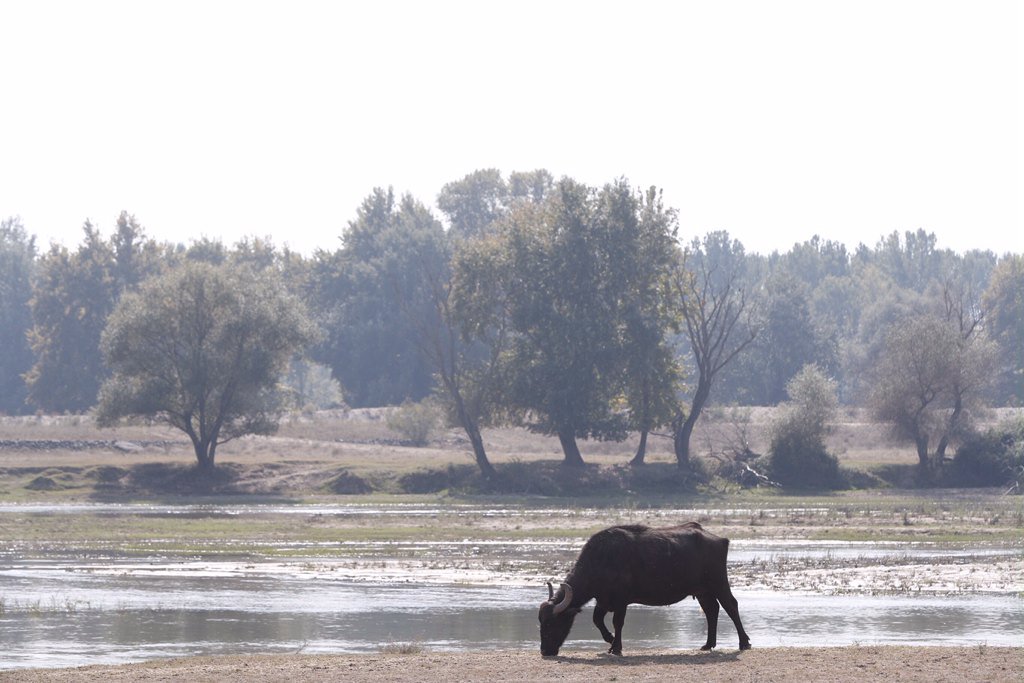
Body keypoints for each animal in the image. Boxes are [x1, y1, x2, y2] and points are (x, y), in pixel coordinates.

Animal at [540, 524, 749, 655]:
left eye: (552, 623)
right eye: (540, 622)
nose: (544, 651)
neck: (600, 560)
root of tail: (720, 539)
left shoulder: (621, 601)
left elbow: (617, 622)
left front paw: (616, 647)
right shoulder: (603, 600)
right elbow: (597, 620)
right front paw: (610, 640)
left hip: (719, 583)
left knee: (731, 606)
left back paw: (744, 642)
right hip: (702, 591)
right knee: (711, 610)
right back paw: (708, 644)